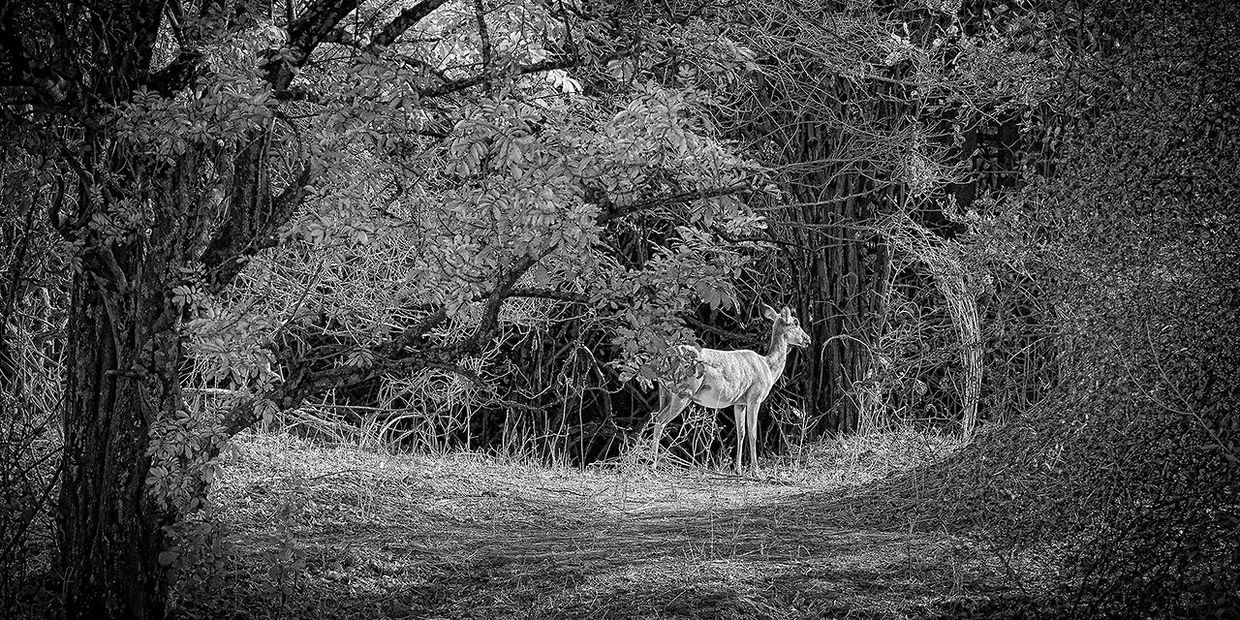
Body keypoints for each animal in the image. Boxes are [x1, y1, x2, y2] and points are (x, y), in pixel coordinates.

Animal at [650, 304, 811, 475]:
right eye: (796, 322)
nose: (808, 339)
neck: (767, 366)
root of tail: (664, 359)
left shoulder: (739, 403)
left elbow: (741, 432)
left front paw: (738, 470)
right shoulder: (755, 397)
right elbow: (753, 432)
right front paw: (756, 471)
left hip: (665, 392)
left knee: (657, 416)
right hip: (684, 391)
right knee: (660, 419)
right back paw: (652, 465)